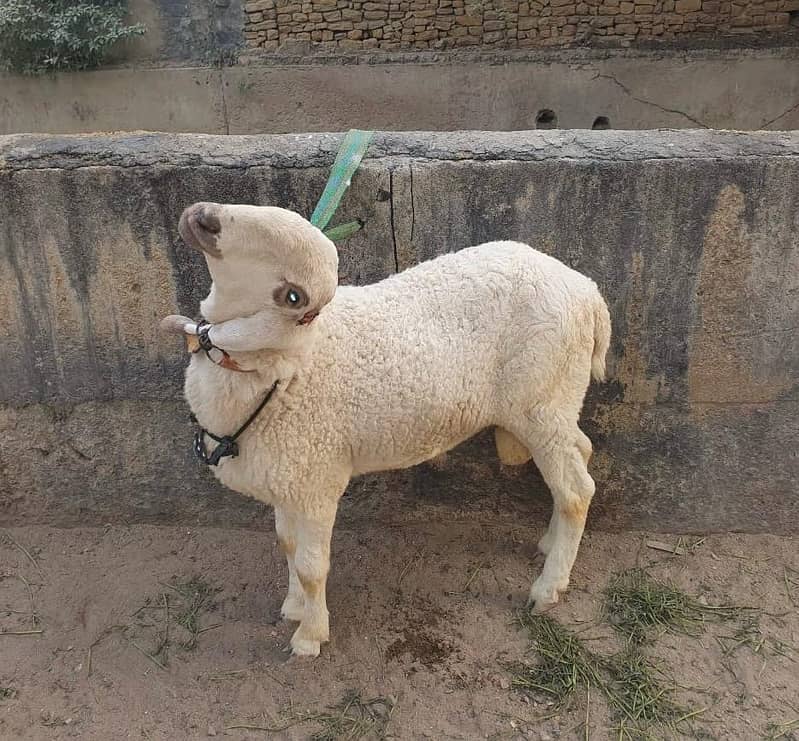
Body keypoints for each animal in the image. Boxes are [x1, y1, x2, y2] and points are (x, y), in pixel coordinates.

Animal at [160, 201, 611, 658]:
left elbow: (310, 566)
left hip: (542, 401)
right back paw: (551, 542)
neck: (283, 366)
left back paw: (548, 587)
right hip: (558, 403)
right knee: (581, 453)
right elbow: (287, 544)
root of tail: (588, 291)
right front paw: (293, 607)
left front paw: (310, 635)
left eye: (292, 296)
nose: (204, 217)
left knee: (576, 491)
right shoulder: (287, 476)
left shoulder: (317, 478)